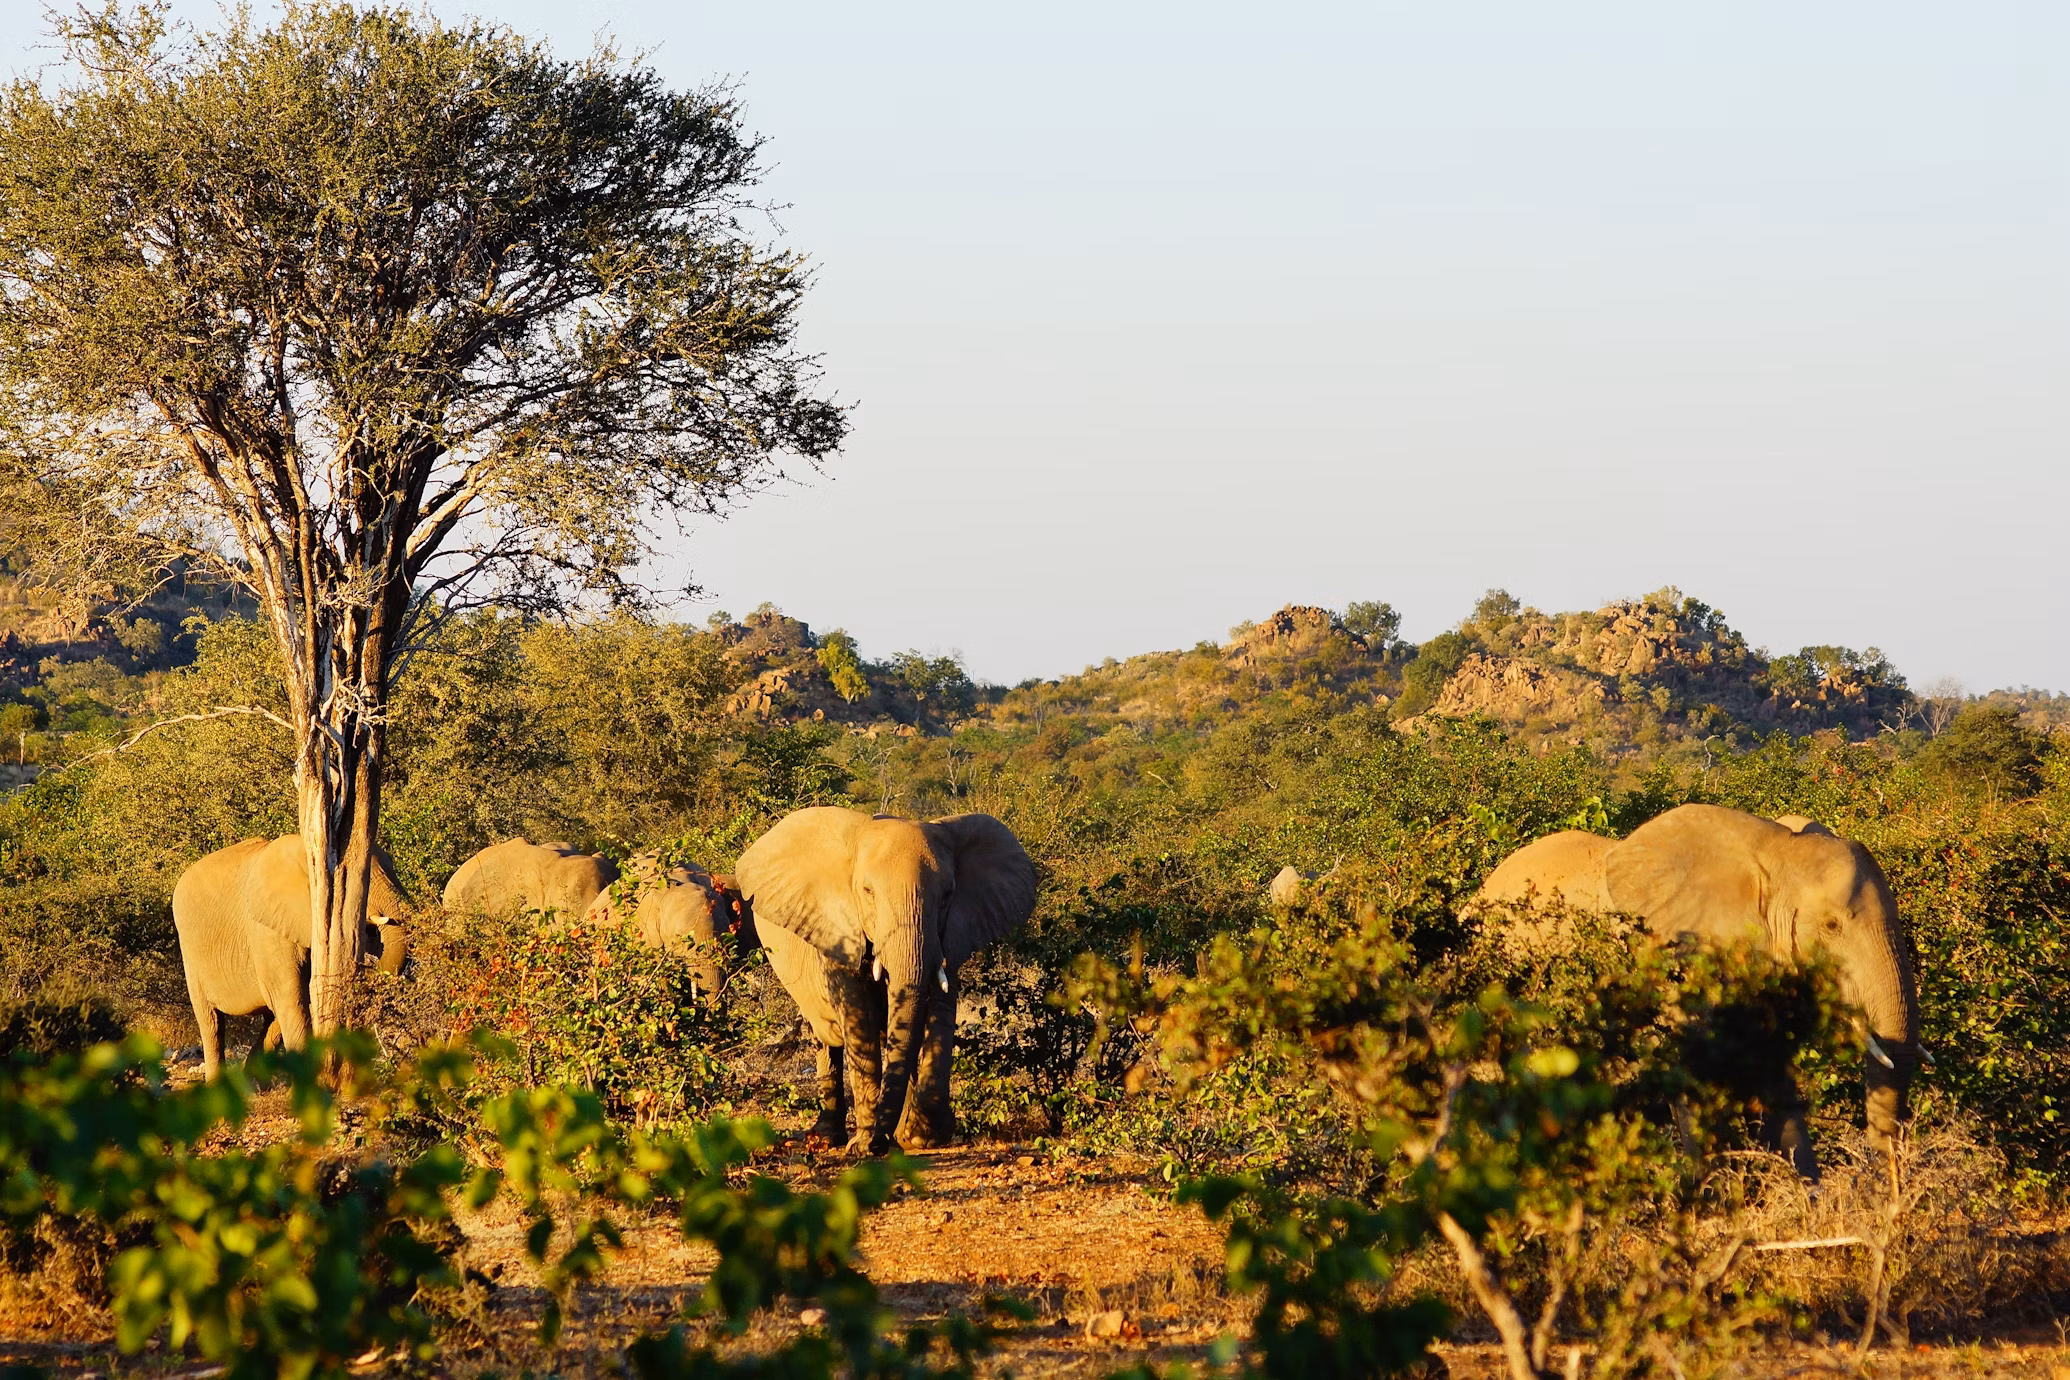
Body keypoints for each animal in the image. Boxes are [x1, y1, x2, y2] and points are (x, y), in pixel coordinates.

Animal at [735, 807, 1038, 1154]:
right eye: (867, 893)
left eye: (947, 896)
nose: (880, 1144)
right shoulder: (838, 931)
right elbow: (861, 1021)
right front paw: (865, 1145)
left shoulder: (951, 933)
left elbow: (939, 1010)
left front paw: (921, 1137)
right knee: (827, 1039)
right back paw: (828, 1139)